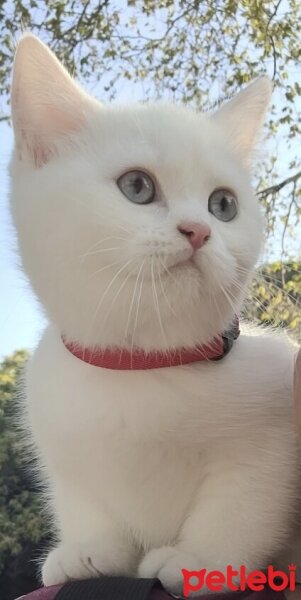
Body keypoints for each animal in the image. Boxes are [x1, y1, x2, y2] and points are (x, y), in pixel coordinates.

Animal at [9, 36, 300, 596]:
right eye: (138, 187)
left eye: (223, 205)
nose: (198, 231)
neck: (143, 365)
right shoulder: (61, 443)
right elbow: (84, 501)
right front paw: (89, 551)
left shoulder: (269, 448)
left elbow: (239, 509)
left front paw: (201, 561)